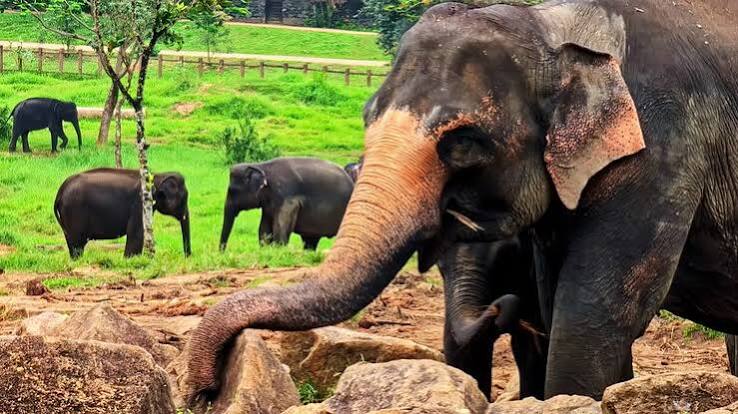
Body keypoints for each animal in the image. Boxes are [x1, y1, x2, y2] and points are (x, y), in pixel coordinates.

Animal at [55, 168, 191, 258]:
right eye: (183, 200)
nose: (187, 256)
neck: (157, 177)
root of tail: (60, 191)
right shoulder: (140, 203)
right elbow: (136, 234)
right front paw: (130, 260)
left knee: (73, 244)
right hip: (74, 211)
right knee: (77, 244)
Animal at [219, 157, 354, 251]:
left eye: (232, 191)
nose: (222, 253)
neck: (261, 166)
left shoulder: (286, 196)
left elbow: (280, 227)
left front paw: (278, 250)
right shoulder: (268, 204)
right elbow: (264, 230)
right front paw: (266, 250)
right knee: (310, 241)